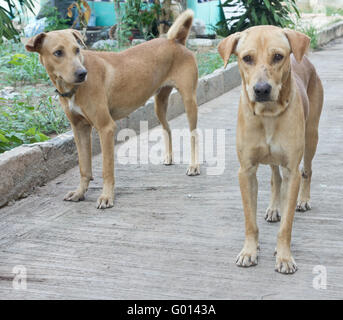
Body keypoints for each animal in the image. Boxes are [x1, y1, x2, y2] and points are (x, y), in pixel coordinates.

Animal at [25, 10, 200, 209]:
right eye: (58, 53)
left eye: (77, 50)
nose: (82, 74)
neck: (73, 89)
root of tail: (176, 41)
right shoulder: (79, 129)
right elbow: (84, 167)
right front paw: (80, 192)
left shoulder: (106, 128)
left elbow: (107, 169)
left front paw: (107, 196)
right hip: (159, 103)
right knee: (167, 128)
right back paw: (169, 157)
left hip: (189, 100)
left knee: (194, 134)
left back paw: (194, 166)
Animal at [219, 26, 324, 274]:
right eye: (247, 58)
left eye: (278, 56)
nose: (261, 89)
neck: (267, 114)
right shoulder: (246, 171)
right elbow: (250, 220)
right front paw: (249, 251)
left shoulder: (292, 171)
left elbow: (287, 224)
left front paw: (284, 256)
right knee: (275, 178)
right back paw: (274, 208)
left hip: (311, 136)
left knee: (307, 170)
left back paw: (303, 200)